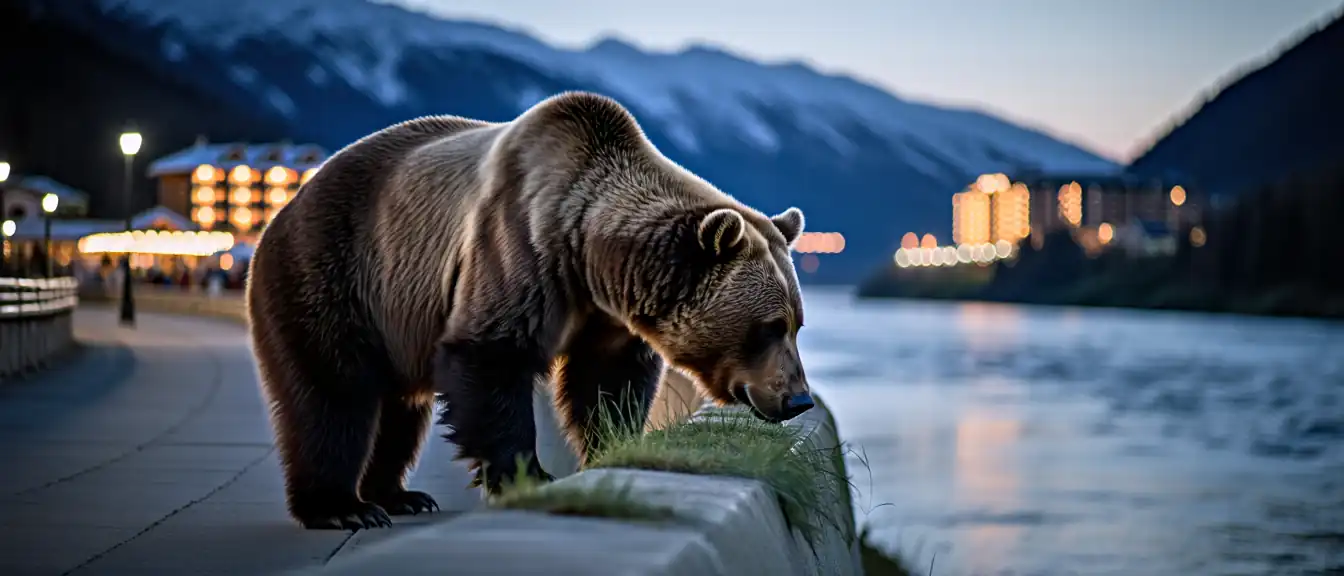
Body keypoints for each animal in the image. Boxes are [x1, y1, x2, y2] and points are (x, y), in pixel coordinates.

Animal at [244, 91, 814, 531]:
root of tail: (285, 208)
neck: (589, 255)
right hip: (334, 275)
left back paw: (398, 495)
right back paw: (342, 507)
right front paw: (528, 473)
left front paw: (612, 446)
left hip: (392, 318)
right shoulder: (518, 245)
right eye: (768, 327)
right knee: (332, 395)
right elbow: (491, 357)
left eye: (796, 323)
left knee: (399, 411)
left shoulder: (606, 317)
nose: (799, 398)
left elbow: (607, 384)